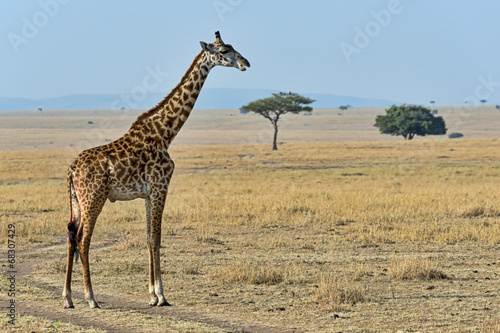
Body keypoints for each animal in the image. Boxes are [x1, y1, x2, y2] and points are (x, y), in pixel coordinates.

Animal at [62, 31, 250, 308]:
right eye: (224, 50)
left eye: (232, 46)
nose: (245, 63)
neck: (166, 133)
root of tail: (72, 169)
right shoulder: (161, 187)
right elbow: (157, 238)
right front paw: (161, 295)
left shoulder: (149, 194)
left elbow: (149, 237)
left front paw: (152, 294)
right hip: (93, 198)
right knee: (83, 239)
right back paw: (91, 298)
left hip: (76, 201)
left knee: (71, 236)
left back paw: (67, 298)